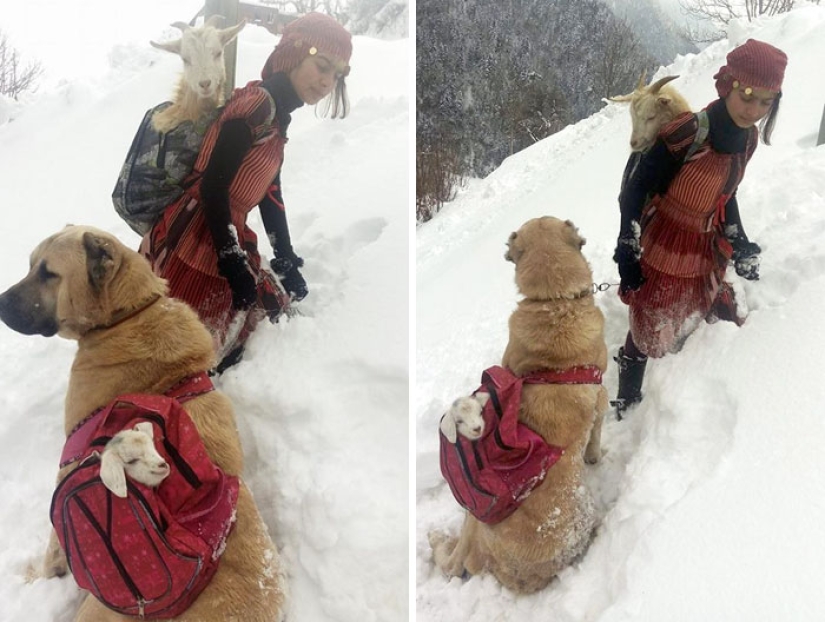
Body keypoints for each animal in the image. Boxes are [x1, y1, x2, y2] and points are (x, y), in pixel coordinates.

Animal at [0, 228, 286, 622]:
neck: (129, 314)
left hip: (98, 609)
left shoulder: (69, 469)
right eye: (30, 265)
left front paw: (35, 578)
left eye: (48, 273)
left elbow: (54, 550)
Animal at [428, 218, 608, 596]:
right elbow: (597, 430)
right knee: (454, 564)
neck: (555, 304)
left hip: (476, 517)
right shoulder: (602, 395)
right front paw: (594, 456)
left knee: (455, 564)